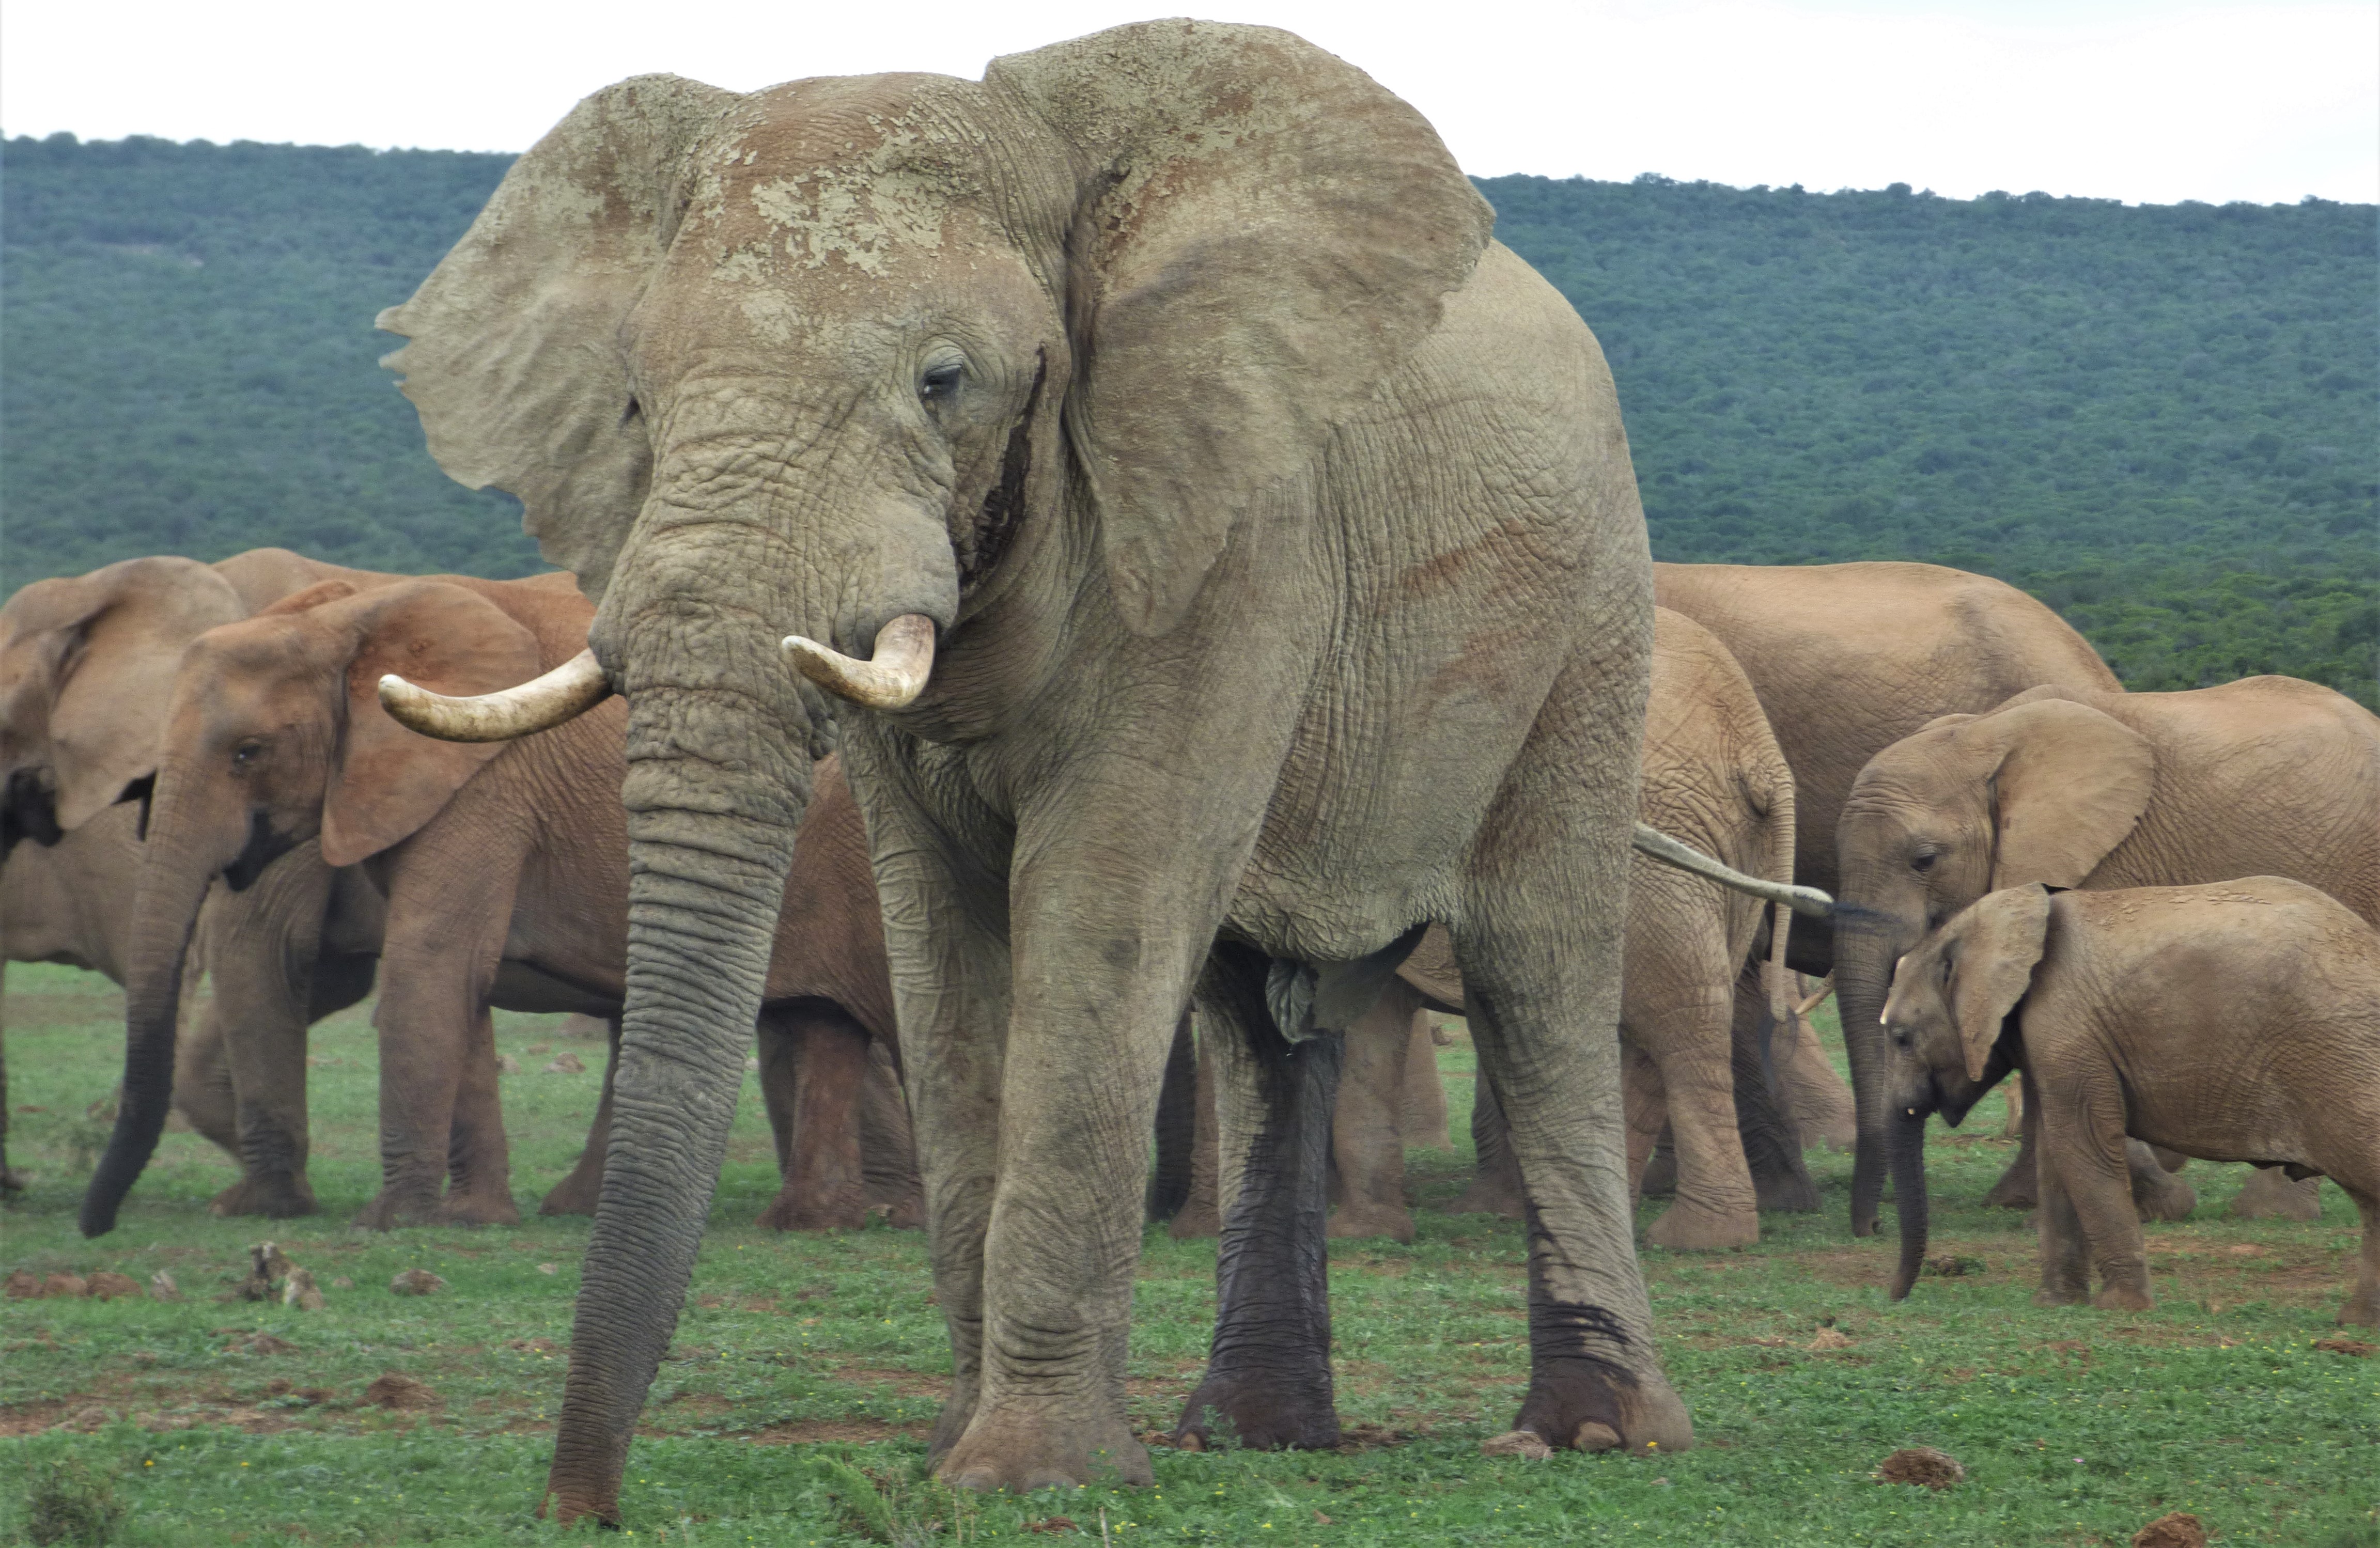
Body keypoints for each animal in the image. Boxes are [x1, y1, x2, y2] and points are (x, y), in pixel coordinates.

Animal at [376, 21, 1698, 1510]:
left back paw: (1594, 1432)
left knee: (1537, 967)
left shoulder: (1231, 528)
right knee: (1262, 1021)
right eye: (635, 401)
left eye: (943, 381)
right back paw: (1247, 1430)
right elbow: (945, 951)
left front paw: (1026, 1476)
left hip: (1592, 615)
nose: (581, 1507)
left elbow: (1102, 905)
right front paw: (964, 1446)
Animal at [1835, 674, 2380, 1242]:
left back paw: (2270, 1213)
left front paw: (2149, 1205)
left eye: (1924, 860)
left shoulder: (2106, 858)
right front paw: (2021, 1203)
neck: (1979, 737)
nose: (1872, 1226)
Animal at [1880, 880, 2380, 1327]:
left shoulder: (2065, 1028)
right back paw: (2355, 1323)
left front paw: (2119, 1308)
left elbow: (2080, 1147)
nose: (1895, 1298)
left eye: (1901, 1038)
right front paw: (2055, 1305)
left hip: (2338, 1059)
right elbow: (2054, 1155)